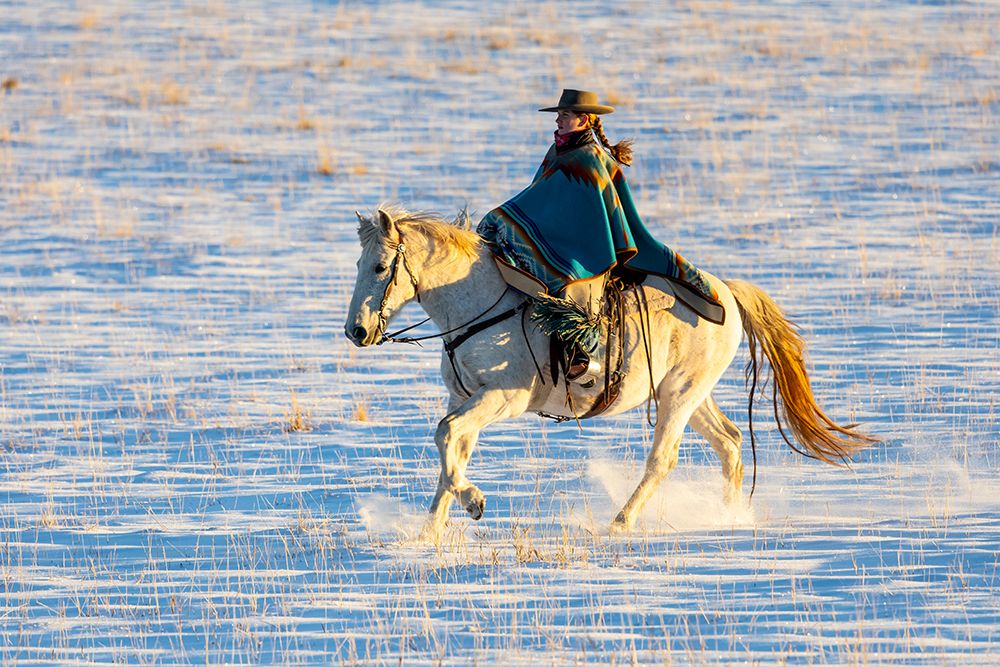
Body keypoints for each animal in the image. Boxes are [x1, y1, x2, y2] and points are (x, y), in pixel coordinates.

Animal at [345, 205, 875, 537]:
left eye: (380, 267)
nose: (356, 331)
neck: (479, 305)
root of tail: (726, 290)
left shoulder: (502, 398)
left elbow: (445, 435)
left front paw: (473, 503)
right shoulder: (465, 397)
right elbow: (450, 449)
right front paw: (429, 530)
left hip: (680, 396)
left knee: (664, 459)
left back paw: (622, 522)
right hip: (688, 393)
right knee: (729, 443)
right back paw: (728, 517)